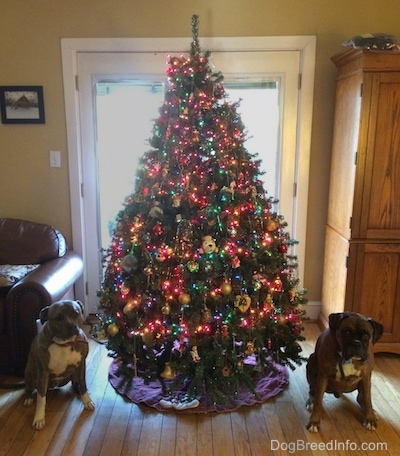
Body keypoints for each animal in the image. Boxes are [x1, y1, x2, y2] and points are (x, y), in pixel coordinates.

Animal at [23, 302, 94, 430]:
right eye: (58, 318)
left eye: (76, 313)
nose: (72, 326)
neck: (64, 343)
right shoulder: (43, 372)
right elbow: (41, 398)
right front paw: (39, 418)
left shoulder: (81, 365)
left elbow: (83, 383)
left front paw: (86, 400)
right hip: (30, 371)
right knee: (29, 387)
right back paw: (27, 397)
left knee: (76, 383)